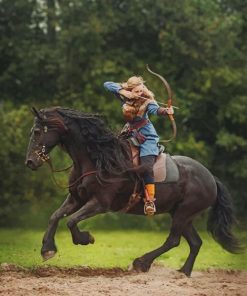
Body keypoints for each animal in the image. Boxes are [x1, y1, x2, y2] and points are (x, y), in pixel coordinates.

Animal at [25, 107, 241, 278]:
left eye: (37, 131)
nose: (29, 162)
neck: (97, 159)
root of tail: (211, 178)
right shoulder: (76, 199)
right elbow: (55, 216)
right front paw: (47, 249)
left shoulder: (100, 203)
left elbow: (70, 221)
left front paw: (85, 239)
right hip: (182, 215)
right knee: (195, 243)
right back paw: (183, 272)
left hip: (183, 214)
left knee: (173, 240)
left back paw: (141, 263)